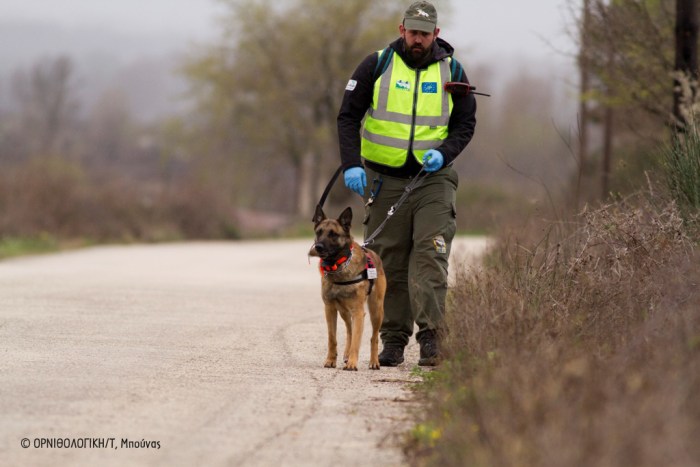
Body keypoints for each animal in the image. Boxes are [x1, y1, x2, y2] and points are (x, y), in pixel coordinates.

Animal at [310, 207, 388, 372]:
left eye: (333, 234)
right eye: (319, 232)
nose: (318, 247)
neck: (338, 266)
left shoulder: (358, 312)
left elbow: (357, 342)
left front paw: (352, 363)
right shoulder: (330, 310)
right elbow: (332, 338)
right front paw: (331, 360)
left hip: (376, 311)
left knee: (373, 337)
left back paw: (374, 361)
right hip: (343, 311)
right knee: (350, 330)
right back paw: (346, 354)